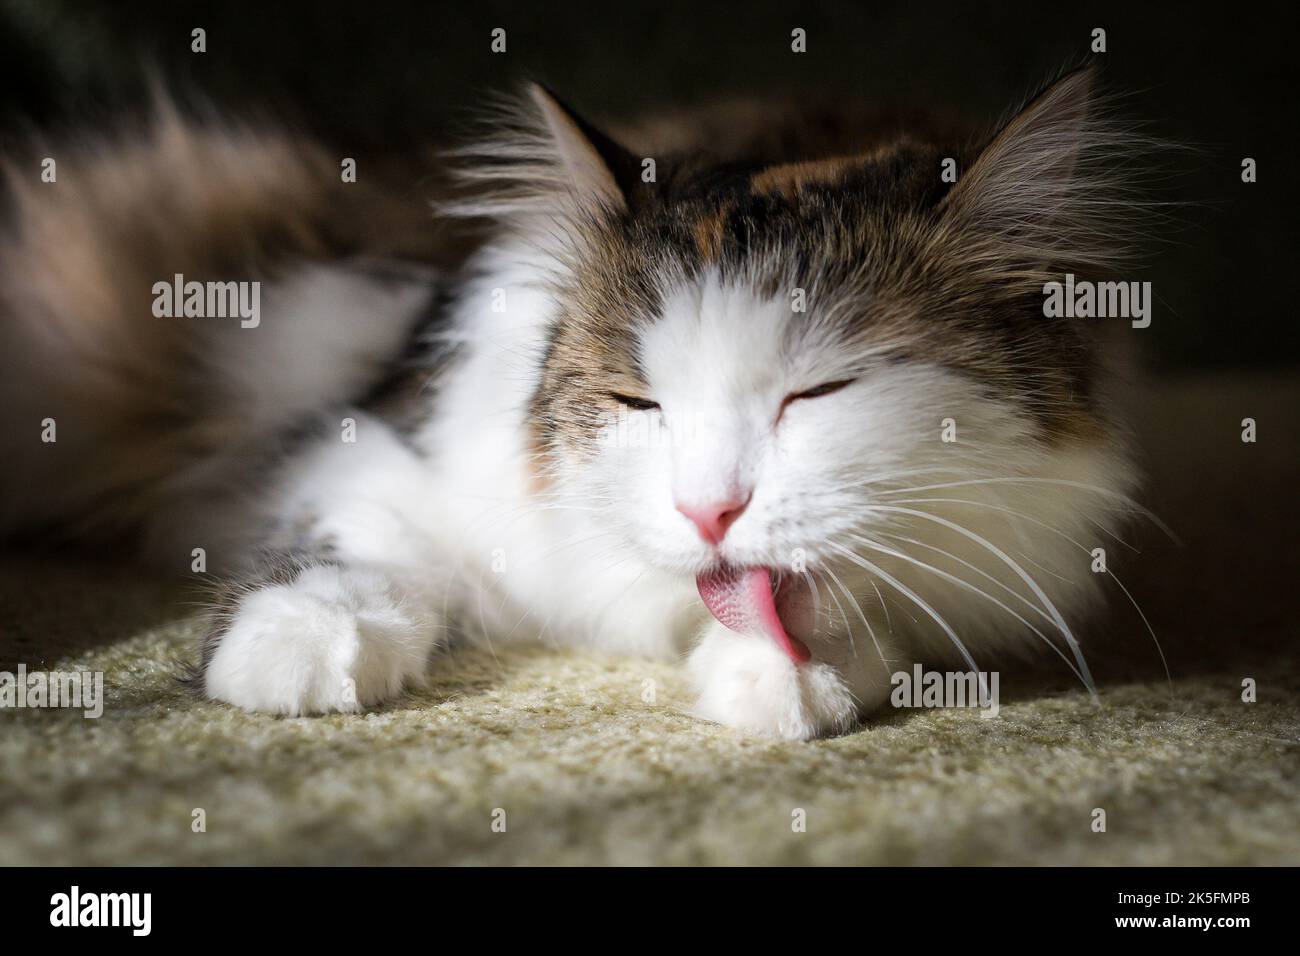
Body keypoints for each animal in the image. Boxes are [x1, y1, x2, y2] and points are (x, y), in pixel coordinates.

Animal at [2, 67, 1159, 738]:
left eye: (820, 392)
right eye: (635, 401)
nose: (707, 511)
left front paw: (789, 680)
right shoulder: (383, 448)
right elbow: (350, 542)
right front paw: (301, 644)